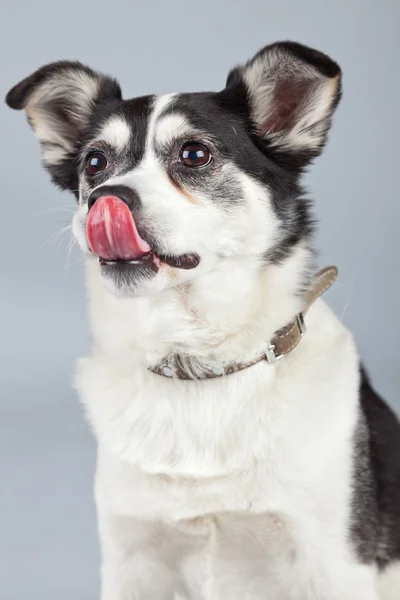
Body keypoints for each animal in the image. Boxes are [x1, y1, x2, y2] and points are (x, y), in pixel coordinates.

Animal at [7, 42, 400, 600]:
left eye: (194, 155)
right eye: (95, 162)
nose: (106, 199)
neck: (198, 363)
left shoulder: (335, 563)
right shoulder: (132, 562)